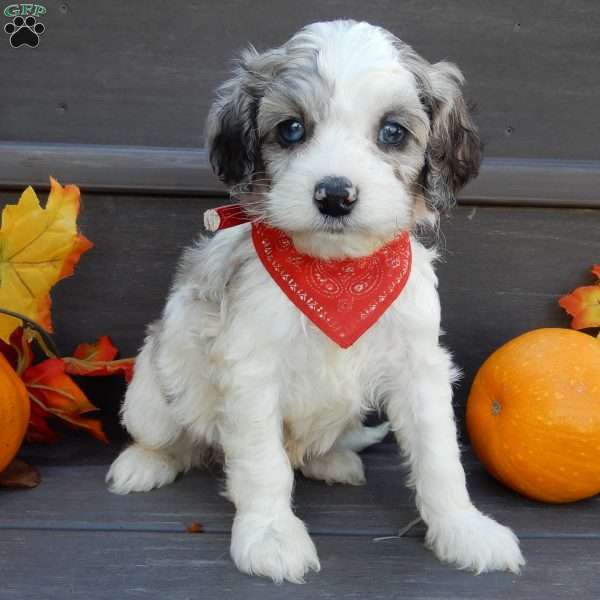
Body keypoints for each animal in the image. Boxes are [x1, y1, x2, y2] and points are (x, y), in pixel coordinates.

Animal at [108, 21, 524, 584]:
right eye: (290, 130)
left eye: (393, 132)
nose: (334, 195)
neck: (337, 275)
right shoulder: (251, 370)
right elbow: (263, 465)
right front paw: (269, 536)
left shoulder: (420, 366)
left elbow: (441, 459)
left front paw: (464, 530)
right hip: (152, 393)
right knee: (165, 437)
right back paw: (144, 463)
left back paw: (333, 463)